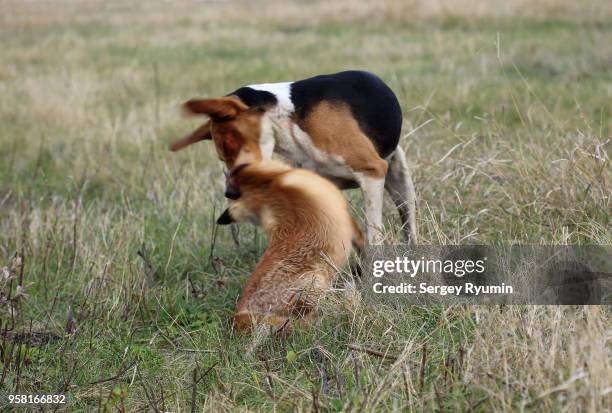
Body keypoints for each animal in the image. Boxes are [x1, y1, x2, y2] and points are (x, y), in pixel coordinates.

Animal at [171, 69, 416, 243]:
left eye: (231, 146)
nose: (230, 193)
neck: (288, 119)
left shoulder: (371, 173)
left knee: (408, 223)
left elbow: (374, 235)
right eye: (222, 159)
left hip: (401, 184)